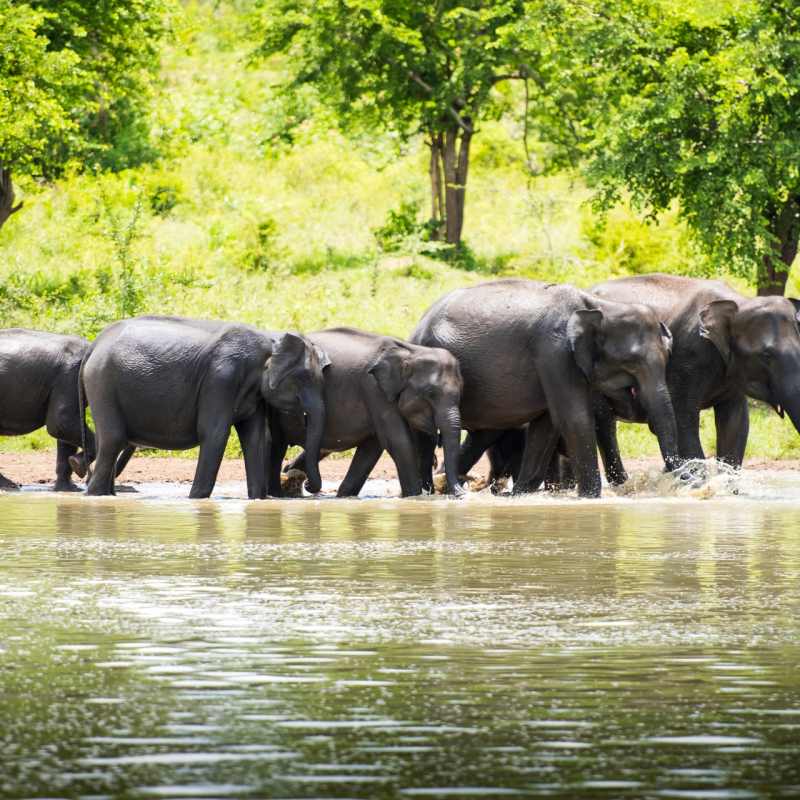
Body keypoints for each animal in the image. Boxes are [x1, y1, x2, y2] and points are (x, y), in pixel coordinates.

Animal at [0, 328, 96, 491]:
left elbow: (64, 430)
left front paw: (68, 488)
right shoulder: (70, 375)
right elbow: (61, 423)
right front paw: (78, 466)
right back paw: (10, 486)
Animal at [79, 316, 328, 498]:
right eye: (304, 379)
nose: (307, 484)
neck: (269, 338)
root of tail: (95, 344)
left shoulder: (254, 393)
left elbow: (255, 438)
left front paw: (257, 499)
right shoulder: (221, 379)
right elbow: (215, 434)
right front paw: (196, 499)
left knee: (109, 441)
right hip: (102, 382)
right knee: (113, 439)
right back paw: (95, 496)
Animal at [273, 327, 464, 497]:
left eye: (460, 393)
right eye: (431, 393)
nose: (461, 494)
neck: (411, 351)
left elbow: (371, 447)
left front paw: (345, 495)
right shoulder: (374, 389)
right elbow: (398, 442)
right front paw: (415, 497)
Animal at [410, 279, 681, 497]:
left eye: (669, 355)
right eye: (632, 364)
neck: (600, 306)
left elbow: (547, 424)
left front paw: (520, 495)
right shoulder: (554, 352)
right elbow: (574, 418)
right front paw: (590, 498)